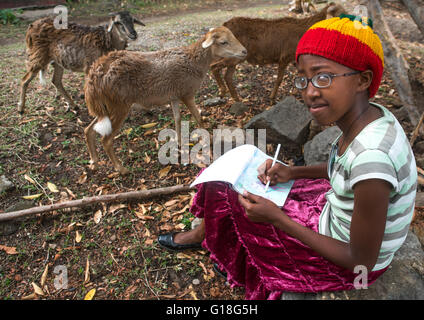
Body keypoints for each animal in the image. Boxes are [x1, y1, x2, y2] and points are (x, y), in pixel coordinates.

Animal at [83, 25, 248, 175]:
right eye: (223, 42)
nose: (244, 51)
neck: (195, 61)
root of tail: (93, 76)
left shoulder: (174, 96)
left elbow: (177, 118)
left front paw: (180, 143)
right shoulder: (186, 94)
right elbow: (197, 116)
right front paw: (209, 138)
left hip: (105, 108)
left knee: (88, 130)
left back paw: (94, 162)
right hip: (119, 106)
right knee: (106, 140)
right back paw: (121, 169)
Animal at [210, 1, 346, 102]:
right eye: (341, 14)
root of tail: (224, 25)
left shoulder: (294, 59)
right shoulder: (285, 56)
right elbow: (280, 78)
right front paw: (272, 98)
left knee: (226, 75)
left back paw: (233, 97)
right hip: (234, 56)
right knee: (214, 66)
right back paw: (226, 94)